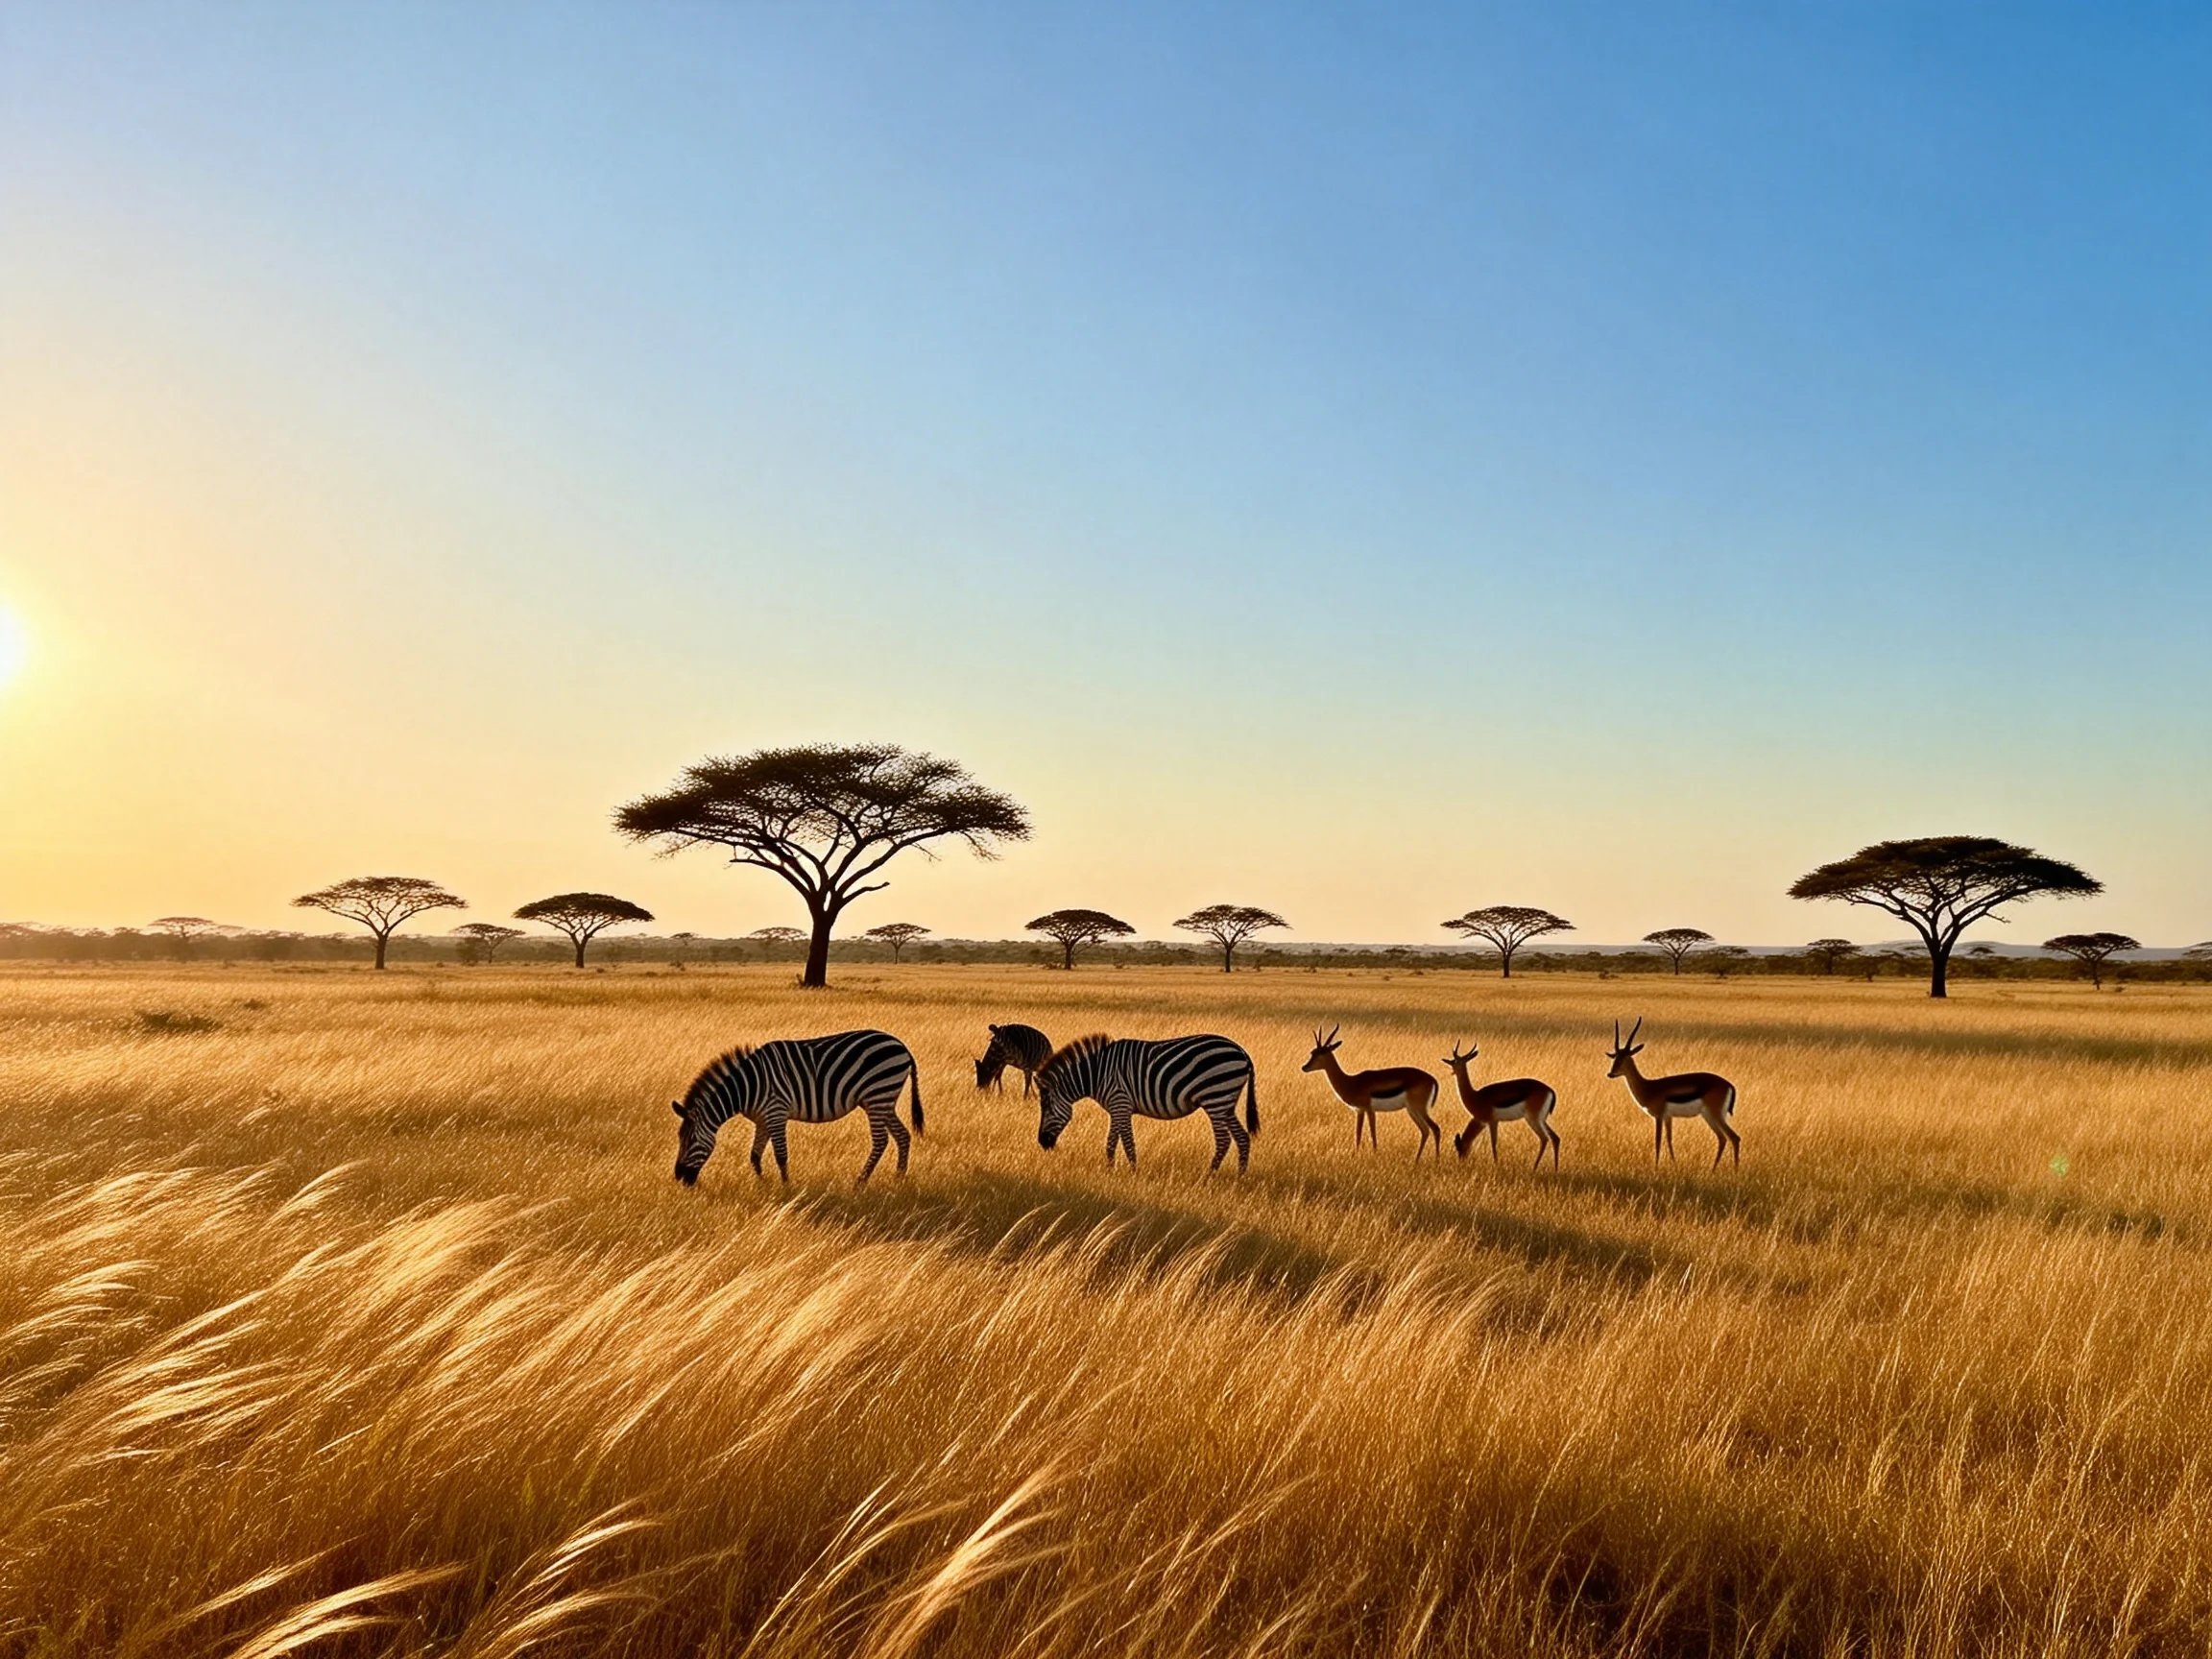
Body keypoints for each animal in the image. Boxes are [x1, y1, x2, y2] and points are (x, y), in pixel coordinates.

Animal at [671, 1029, 922, 1186]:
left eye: (690, 1140)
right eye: (680, 1139)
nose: (679, 1178)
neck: (748, 1087)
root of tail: (901, 1045)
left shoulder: (776, 1112)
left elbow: (781, 1154)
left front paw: (786, 1187)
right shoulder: (763, 1119)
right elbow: (754, 1155)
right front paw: (762, 1184)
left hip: (878, 1094)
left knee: (881, 1141)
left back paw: (860, 1182)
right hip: (883, 1100)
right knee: (902, 1135)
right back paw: (898, 1178)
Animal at [1036, 1033, 1258, 1171]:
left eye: (1046, 1108)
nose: (1042, 1143)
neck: (1097, 1074)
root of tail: (1242, 1052)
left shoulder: (1120, 1102)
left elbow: (1127, 1142)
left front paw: (1133, 1173)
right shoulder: (1117, 1108)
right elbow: (1111, 1142)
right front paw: (1110, 1170)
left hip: (1215, 1098)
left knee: (1224, 1141)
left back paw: (1208, 1177)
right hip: (1226, 1102)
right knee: (1242, 1137)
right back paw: (1240, 1177)